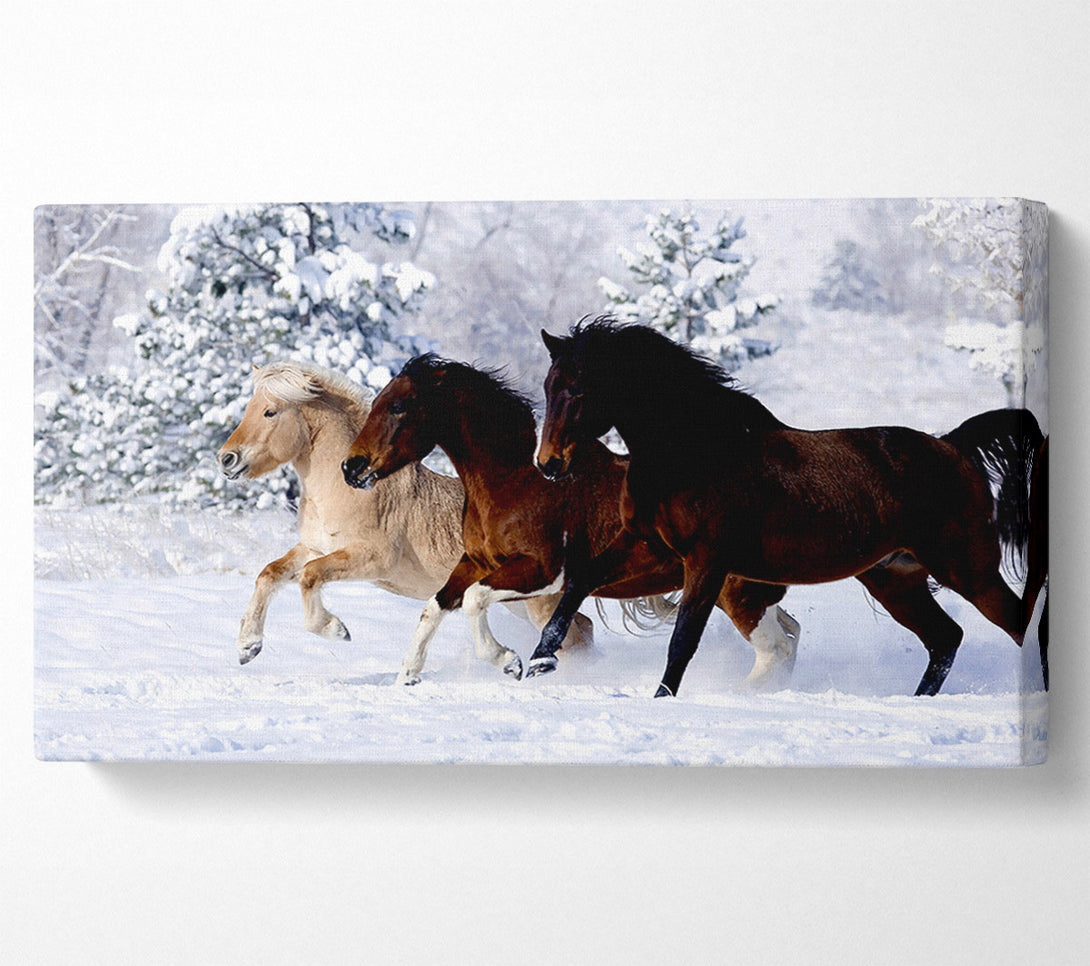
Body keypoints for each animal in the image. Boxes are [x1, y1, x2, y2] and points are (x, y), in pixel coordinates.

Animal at [217, 359, 593, 672]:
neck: (347, 488)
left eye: (270, 412)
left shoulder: (372, 559)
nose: (226, 459)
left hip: (538, 600)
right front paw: (248, 647)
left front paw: (336, 630)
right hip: (518, 600)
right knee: (582, 629)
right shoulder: (315, 547)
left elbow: (309, 577)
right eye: (249, 408)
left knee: (575, 636)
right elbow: (270, 574)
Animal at [341, 353, 802, 687]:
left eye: (399, 406)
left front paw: (510, 662)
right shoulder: (476, 561)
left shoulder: (544, 572)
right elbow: (435, 606)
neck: (516, 478)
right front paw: (407, 676)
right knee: (789, 634)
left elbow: (473, 600)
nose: (351, 467)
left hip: (736, 593)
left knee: (775, 649)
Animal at [533, 318, 1042, 698]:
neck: (692, 450)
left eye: (580, 389)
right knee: (945, 639)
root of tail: (953, 446)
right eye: (548, 386)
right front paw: (540, 659)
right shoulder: (647, 545)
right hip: (896, 579)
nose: (548, 464)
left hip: (967, 569)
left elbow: (683, 639)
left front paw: (662, 700)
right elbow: (579, 581)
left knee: (1015, 627)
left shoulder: (706, 561)